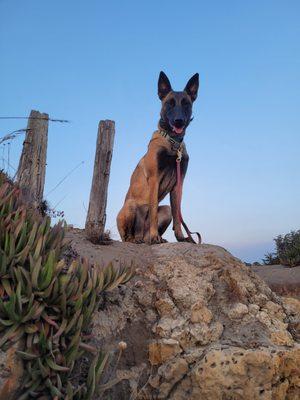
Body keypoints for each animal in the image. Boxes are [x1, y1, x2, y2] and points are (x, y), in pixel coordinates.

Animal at [117, 71, 199, 244]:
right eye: (170, 103)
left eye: (186, 104)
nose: (179, 121)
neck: (173, 143)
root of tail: (140, 235)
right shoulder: (155, 179)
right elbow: (154, 209)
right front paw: (155, 235)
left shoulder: (178, 185)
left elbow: (177, 214)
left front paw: (181, 237)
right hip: (131, 205)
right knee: (126, 236)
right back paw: (140, 238)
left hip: (165, 210)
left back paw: (152, 238)